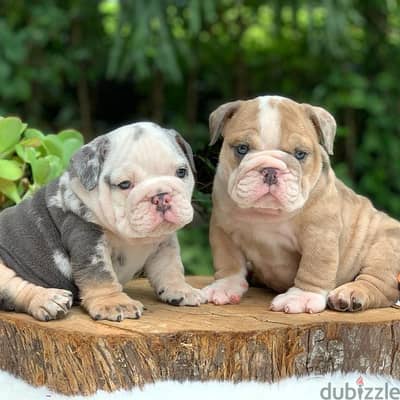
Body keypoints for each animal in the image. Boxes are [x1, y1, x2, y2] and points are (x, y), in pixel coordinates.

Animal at [0, 122, 206, 322]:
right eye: (124, 184)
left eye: (182, 172)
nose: (161, 196)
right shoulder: (90, 241)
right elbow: (100, 275)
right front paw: (114, 303)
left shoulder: (165, 244)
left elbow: (170, 267)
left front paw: (181, 289)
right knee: (14, 289)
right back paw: (48, 300)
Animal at [203, 96, 400, 312]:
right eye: (242, 149)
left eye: (300, 154)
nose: (270, 170)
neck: (267, 214)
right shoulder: (223, 228)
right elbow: (228, 261)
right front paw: (224, 287)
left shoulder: (319, 234)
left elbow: (314, 266)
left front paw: (301, 297)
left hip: (385, 248)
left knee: (378, 284)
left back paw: (349, 295)